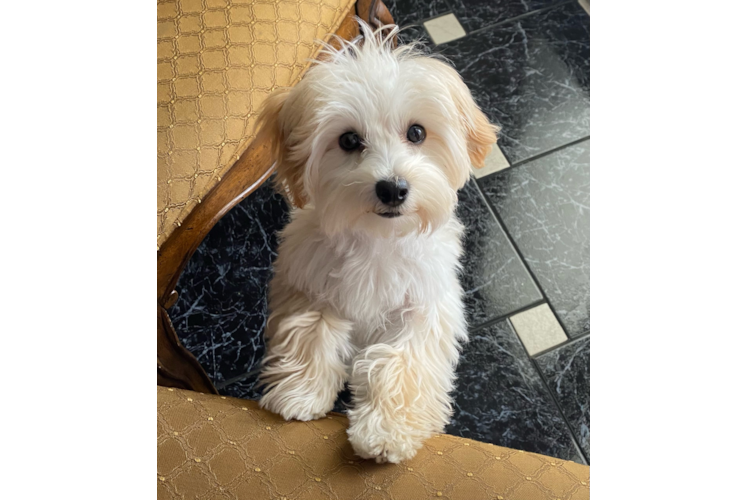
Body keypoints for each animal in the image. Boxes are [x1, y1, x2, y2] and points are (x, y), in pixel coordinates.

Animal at [256, 21, 496, 462]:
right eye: (349, 140)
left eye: (417, 132)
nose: (393, 189)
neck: (378, 238)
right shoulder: (307, 279)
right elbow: (309, 329)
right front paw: (300, 392)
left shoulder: (425, 304)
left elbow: (400, 359)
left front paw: (387, 431)